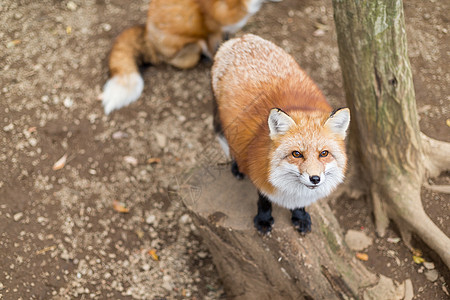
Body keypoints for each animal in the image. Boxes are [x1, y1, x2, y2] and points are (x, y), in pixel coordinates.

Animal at [212, 34, 352, 233]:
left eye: (324, 153)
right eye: (296, 154)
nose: (315, 179)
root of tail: (241, 38)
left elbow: (300, 204)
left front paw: (299, 216)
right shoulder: (259, 171)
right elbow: (263, 200)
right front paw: (263, 219)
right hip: (228, 124)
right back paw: (237, 167)